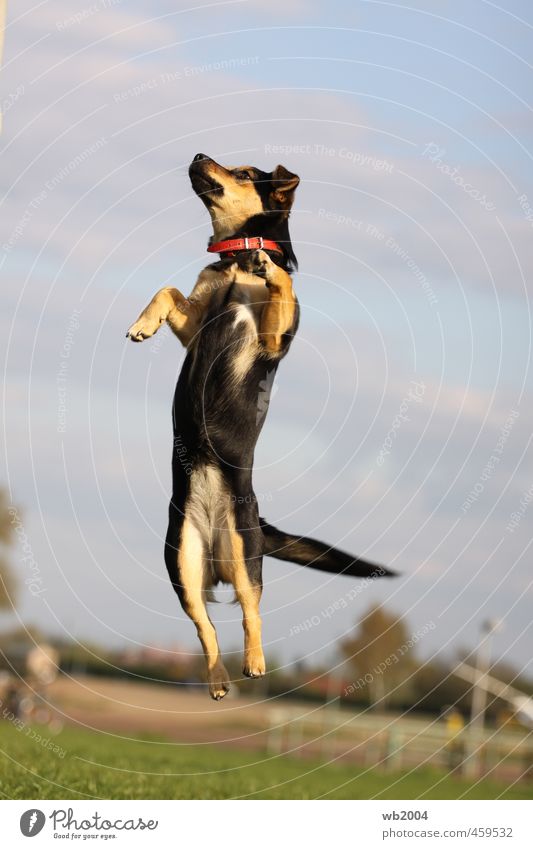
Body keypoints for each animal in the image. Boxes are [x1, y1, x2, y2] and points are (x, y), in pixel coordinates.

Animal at [124, 156, 390, 700]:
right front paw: (143, 324)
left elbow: (281, 287)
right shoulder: (195, 324)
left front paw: (272, 270)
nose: (197, 154)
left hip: (246, 556)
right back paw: (219, 680)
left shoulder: (271, 337)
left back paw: (255, 662)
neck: (235, 262)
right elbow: (168, 288)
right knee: (205, 627)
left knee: (252, 612)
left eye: (246, 172)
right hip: (182, 565)